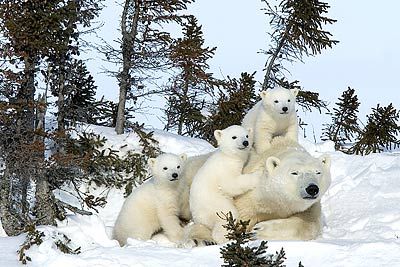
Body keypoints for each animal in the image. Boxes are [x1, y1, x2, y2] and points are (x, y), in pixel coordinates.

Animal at [184, 139, 332, 244]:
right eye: (294, 172)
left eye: (318, 172)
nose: (312, 188)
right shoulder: (249, 197)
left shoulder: (310, 206)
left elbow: (310, 224)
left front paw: (259, 230)